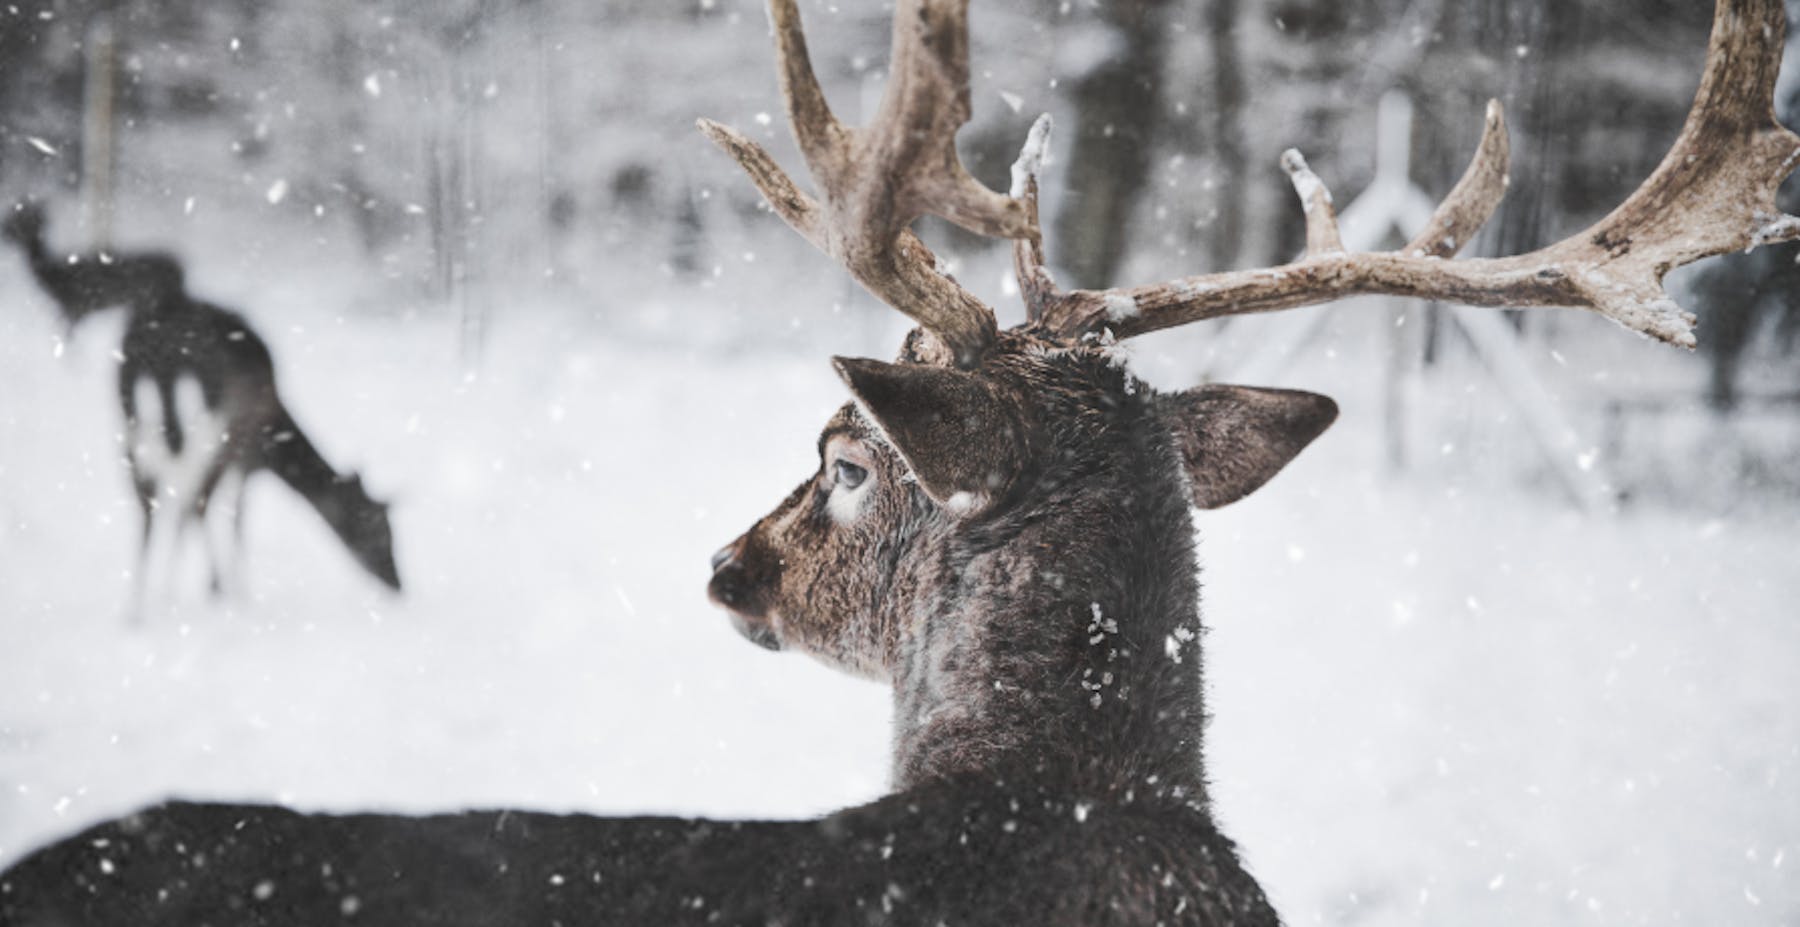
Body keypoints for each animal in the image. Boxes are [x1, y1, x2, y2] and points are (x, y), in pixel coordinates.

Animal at [0, 203, 401, 622]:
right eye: (378, 527)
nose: (398, 584)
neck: (277, 433)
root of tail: (158, 358)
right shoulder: (246, 450)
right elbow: (234, 514)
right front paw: (233, 591)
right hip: (206, 425)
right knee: (190, 499)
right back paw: (195, 591)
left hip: (131, 424)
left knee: (149, 504)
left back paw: (139, 608)